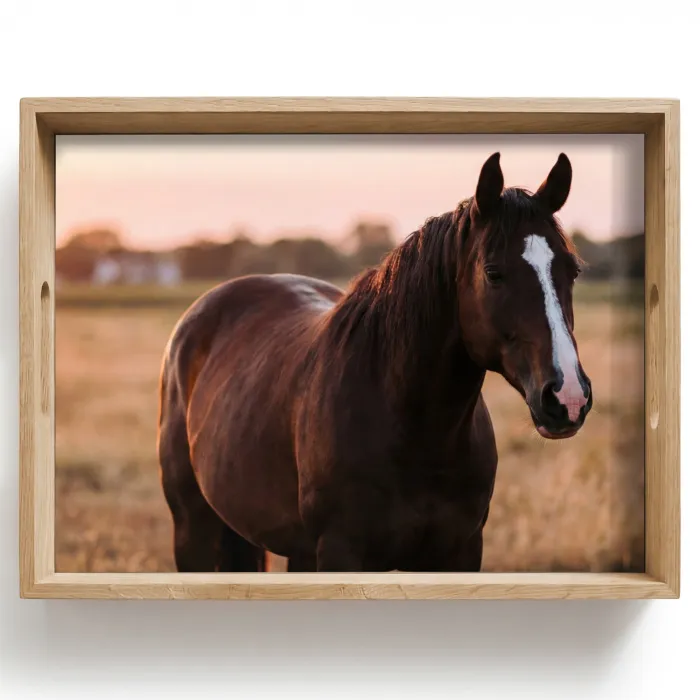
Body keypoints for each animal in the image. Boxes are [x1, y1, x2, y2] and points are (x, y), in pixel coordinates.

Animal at [157, 151, 593, 573]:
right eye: (493, 273)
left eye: (572, 270)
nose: (567, 397)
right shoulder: (339, 552)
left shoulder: (461, 552)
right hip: (192, 529)